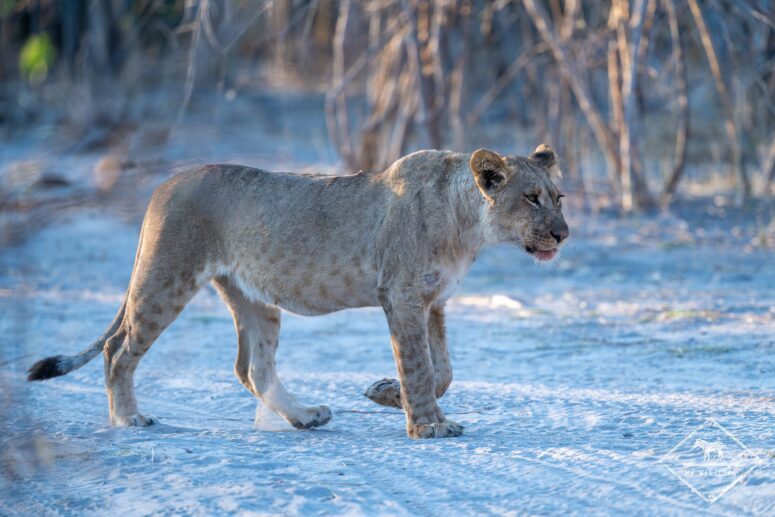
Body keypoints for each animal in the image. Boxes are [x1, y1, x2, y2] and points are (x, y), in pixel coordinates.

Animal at [27, 145, 569, 439]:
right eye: (531, 198)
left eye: (559, 198)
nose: (563, 235)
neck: (467, 223)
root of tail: (162, 186)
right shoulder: (401, 295)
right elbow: (419, 366)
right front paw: (427, 427)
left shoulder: (434, 301)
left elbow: (444, 371)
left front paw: (386, 395)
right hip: (166, 278)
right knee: (119, 349)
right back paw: (127, 419)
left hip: (252, 296)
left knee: (252, 367)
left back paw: (306, 417)